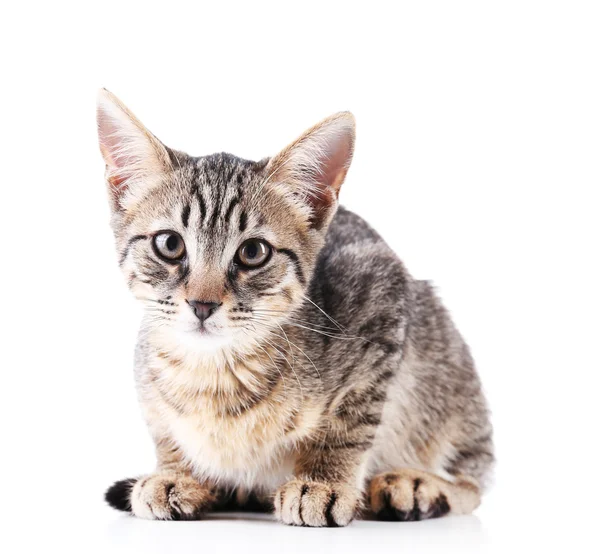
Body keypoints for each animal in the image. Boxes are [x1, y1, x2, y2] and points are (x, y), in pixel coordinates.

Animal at [97, 88, 492, 524]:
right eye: (169, 244)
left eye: (253, 252)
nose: (202, 304)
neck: (213, 375)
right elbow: (164, 430)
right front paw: (176, 473)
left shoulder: (382, 299)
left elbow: (349, 422)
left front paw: (322, 482)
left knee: (471, 480)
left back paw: (416, 484)